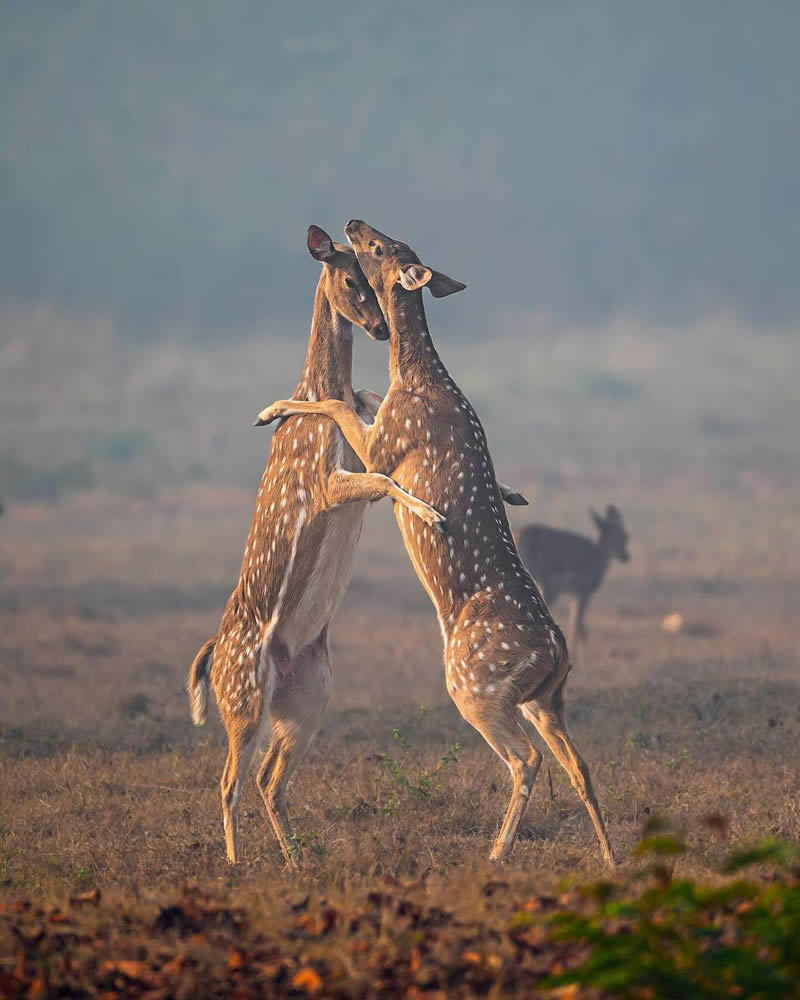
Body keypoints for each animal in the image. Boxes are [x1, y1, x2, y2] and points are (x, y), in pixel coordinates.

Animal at [188, 227, 450, 868]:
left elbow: (383, 462)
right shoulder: (327, 484)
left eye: (372, 275)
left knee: (268, 780)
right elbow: (384, 481)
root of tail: (214, 655)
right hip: (245, 697)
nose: (380, 328)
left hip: (312, 695)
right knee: (229, 779)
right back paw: (235, 864)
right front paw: (433, 514)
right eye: (350, 278)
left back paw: (297, 861)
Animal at [253, 221, 616, 868]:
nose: (354, 223)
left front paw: (270, 410)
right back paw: (611, 857)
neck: (422, 379)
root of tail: (556, 655)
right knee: (581, 765)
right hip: (547, 700)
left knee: (525, 759)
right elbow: (358, 395)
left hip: (475, 686)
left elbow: (340, 401)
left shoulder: (384, 447)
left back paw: (496, 854)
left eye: (378, 250)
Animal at [520, 504, 632, 668]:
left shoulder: (574, 595)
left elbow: (577, 625)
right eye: (625, 535)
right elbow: (578, 628)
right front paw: (581, 665)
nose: (625, 556)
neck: (600, 556)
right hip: (550, 586)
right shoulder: (584, 593)